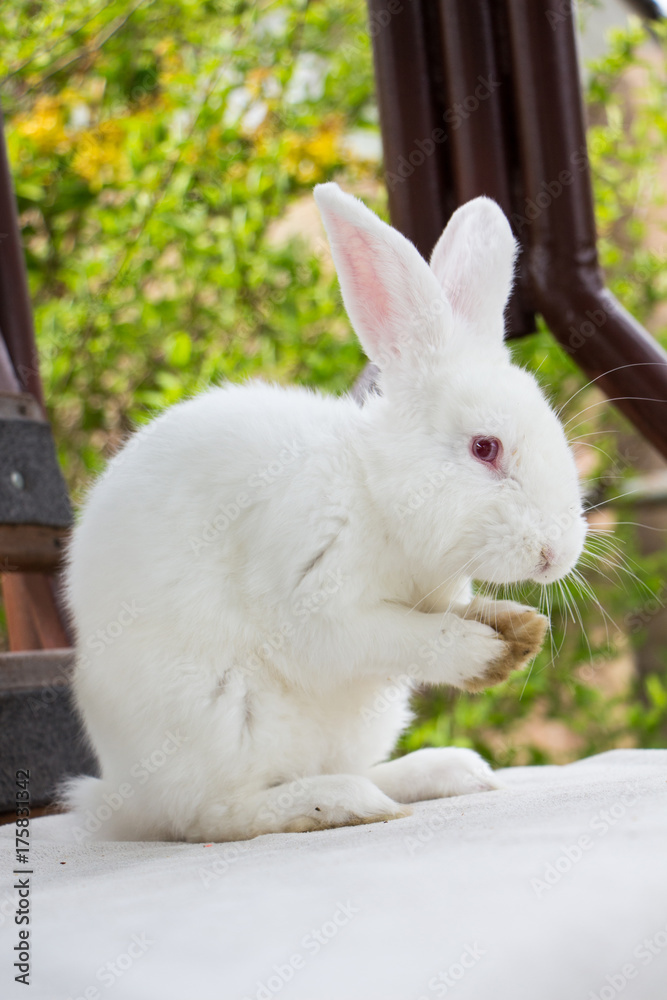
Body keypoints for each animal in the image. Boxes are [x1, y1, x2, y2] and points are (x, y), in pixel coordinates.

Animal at [63, 183, 587, 843]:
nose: (557, 553)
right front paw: (486, 651)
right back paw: (340, 803)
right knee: (215, 814)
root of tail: (119, 800)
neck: (374, 490)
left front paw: (511, 626)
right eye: (484, 448)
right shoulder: (315, 602)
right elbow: (397, 637)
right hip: (218, 719)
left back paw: (446, 771)